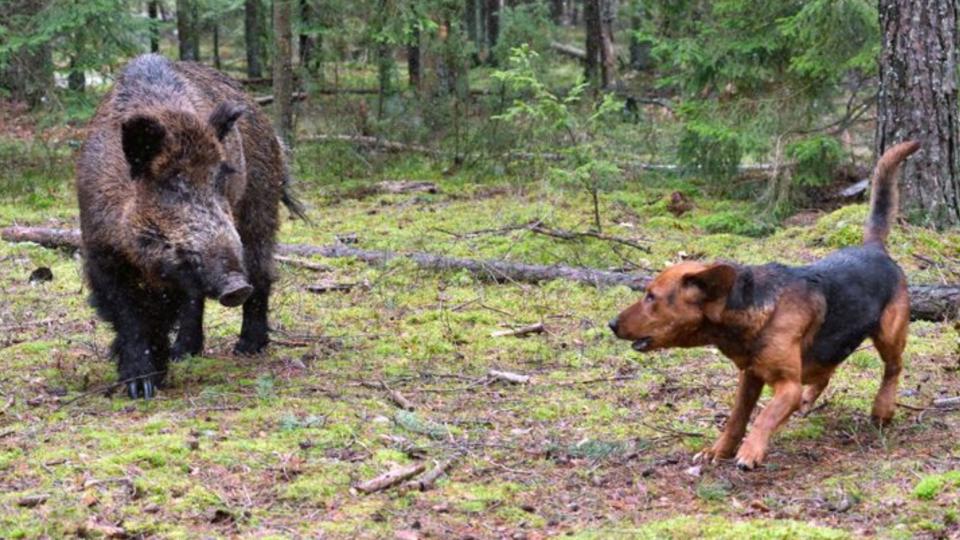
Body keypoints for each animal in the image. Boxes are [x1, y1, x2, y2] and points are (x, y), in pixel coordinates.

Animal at [612, 141, 920, 470]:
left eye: (651, 297)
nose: (611, 324)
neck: (753, 310)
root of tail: (874, 248)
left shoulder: (787, 386)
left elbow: (764, 416)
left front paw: (750, 451)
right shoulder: (750, 377)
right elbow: (736, 419)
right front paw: (719, 450)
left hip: (888, 334)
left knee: (893, 368)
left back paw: (882, 409)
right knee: (826, 372)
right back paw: (812, 400)